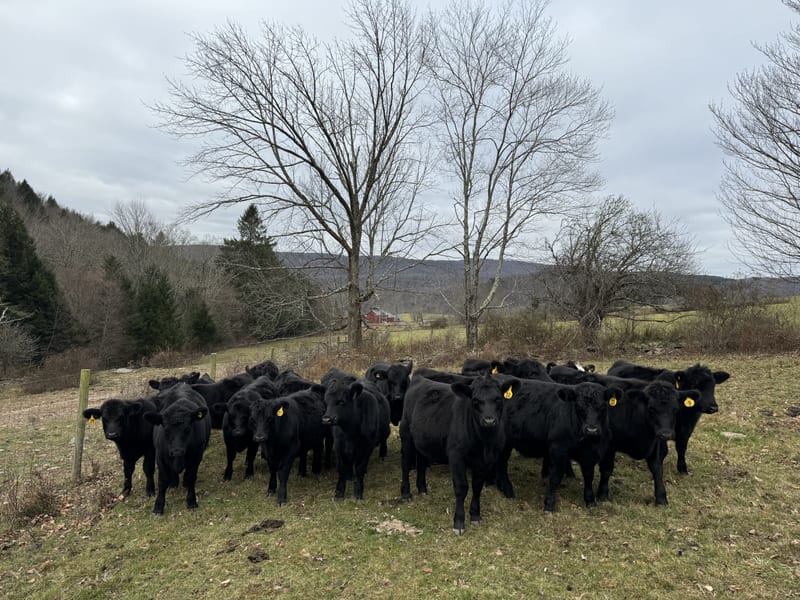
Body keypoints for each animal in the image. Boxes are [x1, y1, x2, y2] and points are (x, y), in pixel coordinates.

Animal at [143, 384, 212, 515]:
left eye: (188, 429)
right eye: (166, 430)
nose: (177, 451)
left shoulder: (197, 456)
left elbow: (191, 477)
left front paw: (191, 501)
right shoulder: (160, 457)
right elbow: (162, 481)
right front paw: (158, 506)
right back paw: (173, 483)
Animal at [321, 368, 391, 500]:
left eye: (341, 402)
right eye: (326, 402)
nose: (327, 419)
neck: (350, 432)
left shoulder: (367, 447)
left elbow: (360, 468)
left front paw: (358, 492)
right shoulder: (339, 446)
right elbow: (342, 468)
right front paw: (339, 493)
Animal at [400, 373, 520, 534]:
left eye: (498, 399)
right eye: (475, 401)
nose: (489, 421)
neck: (484, 443)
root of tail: (419, 378)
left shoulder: (485, 461)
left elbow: (477, 486)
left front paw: (475, 515)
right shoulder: (456, 456)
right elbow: (461, 488)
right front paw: (459, 522)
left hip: (423, 439)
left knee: (422, 463)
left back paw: (422, 489)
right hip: (406, 434)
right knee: (405, 464)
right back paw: (406, 493)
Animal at [492, 379, 621, 511]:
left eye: (603, 407)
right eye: (578, 407)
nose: (591, 430)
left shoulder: (589, 454)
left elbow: (589, 476)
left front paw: (590, 500)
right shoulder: (558, 449)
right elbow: (555, 477)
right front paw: (549, 504)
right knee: (502, 464)